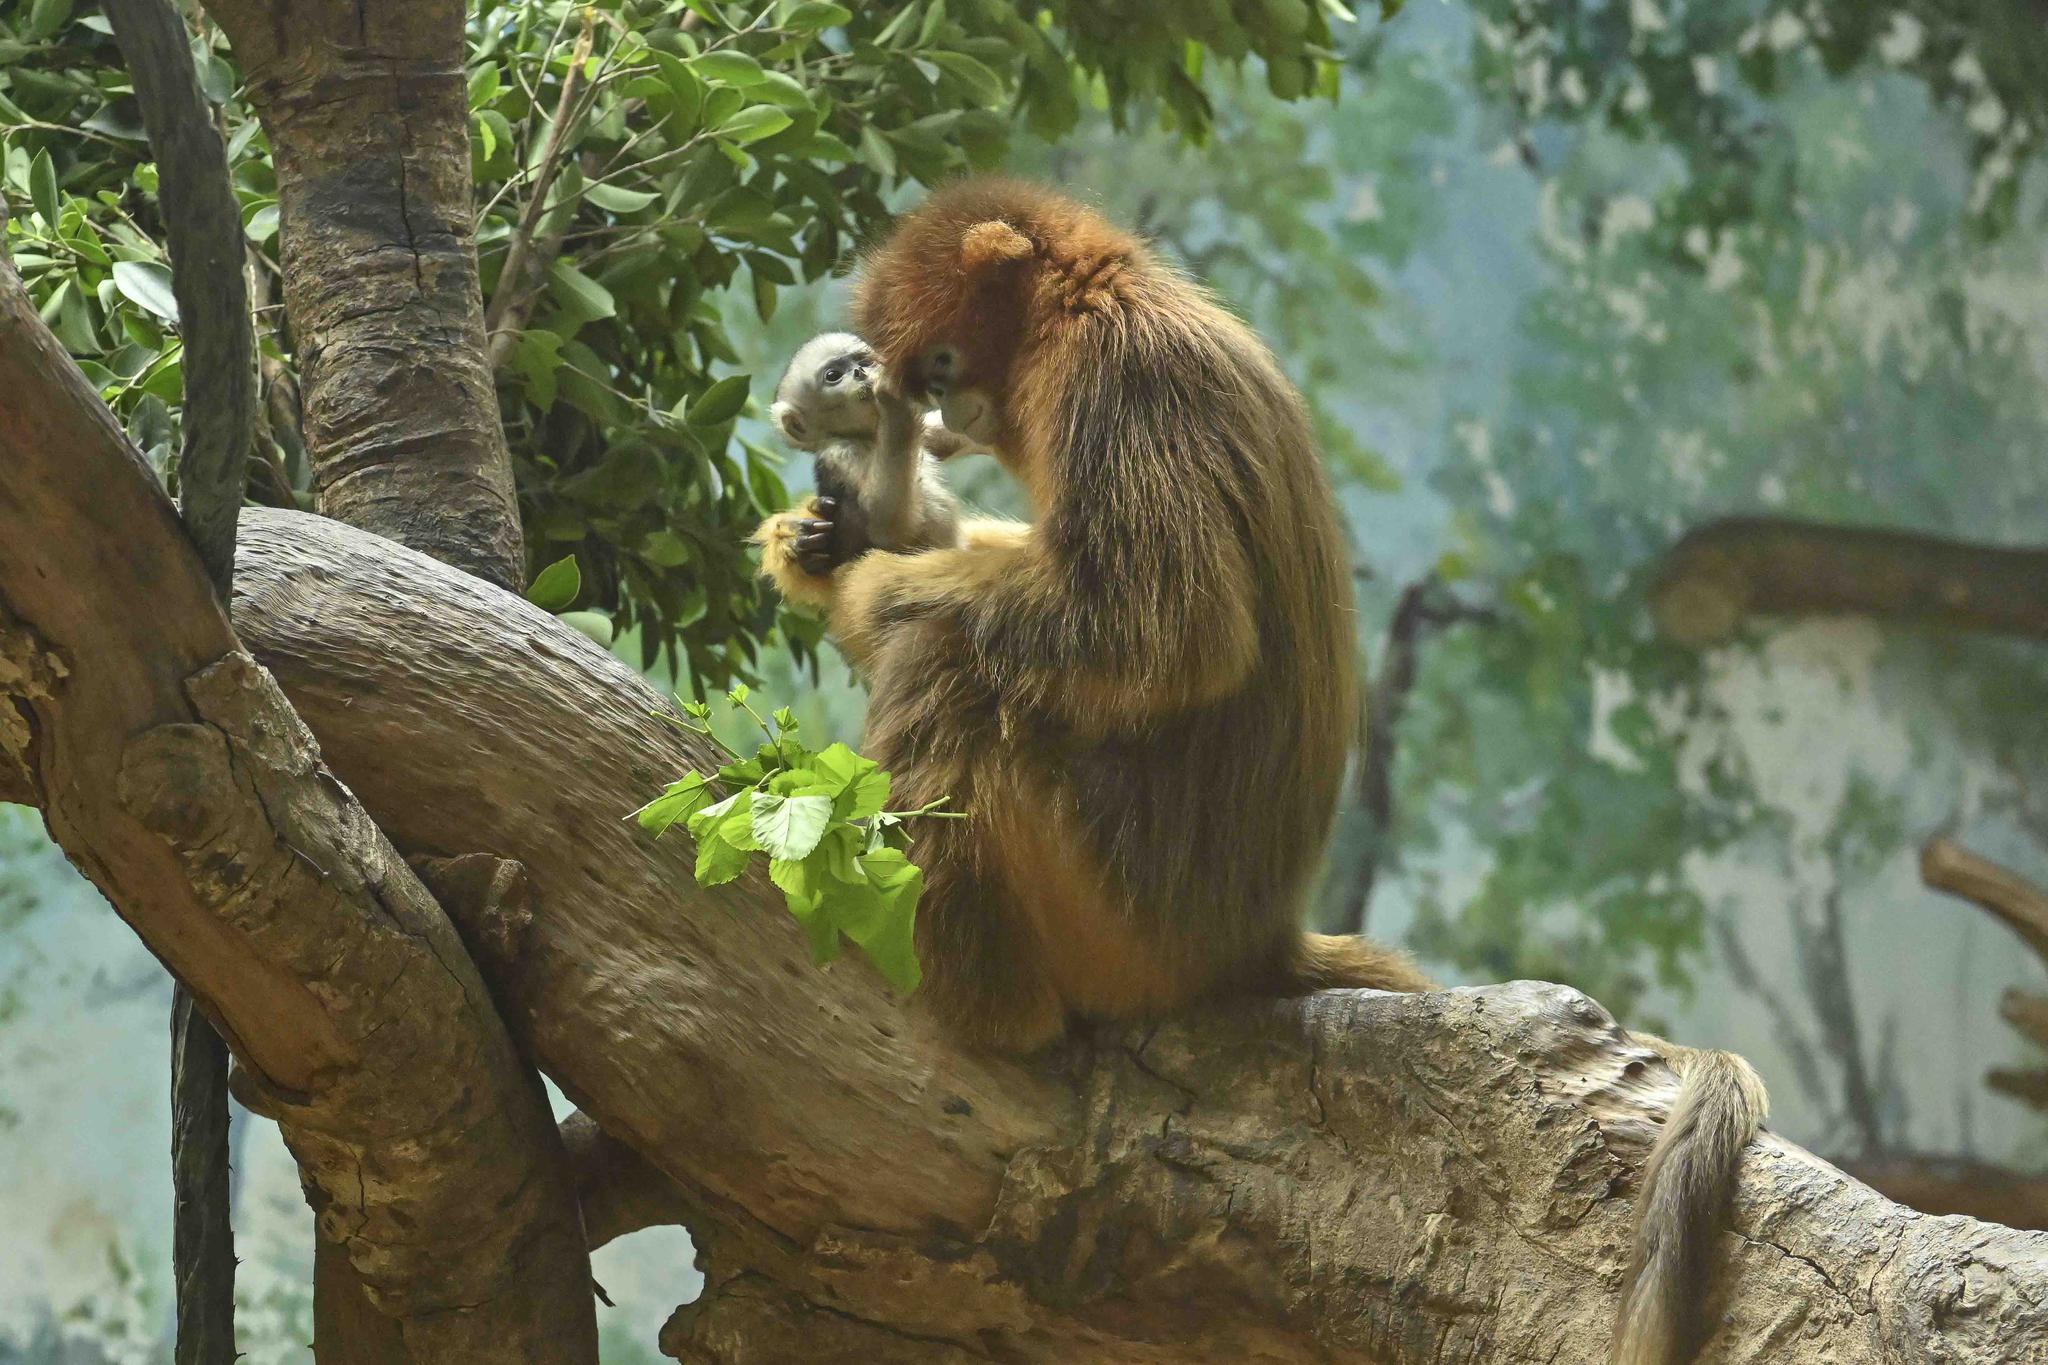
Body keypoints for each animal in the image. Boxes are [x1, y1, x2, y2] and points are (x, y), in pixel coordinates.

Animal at [770, 331, 966, 577]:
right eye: (833, 376)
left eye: (864, 361)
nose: (860, 372)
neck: (866, 437)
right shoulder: (843, 452)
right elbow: (888, 526)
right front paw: (893, 400)